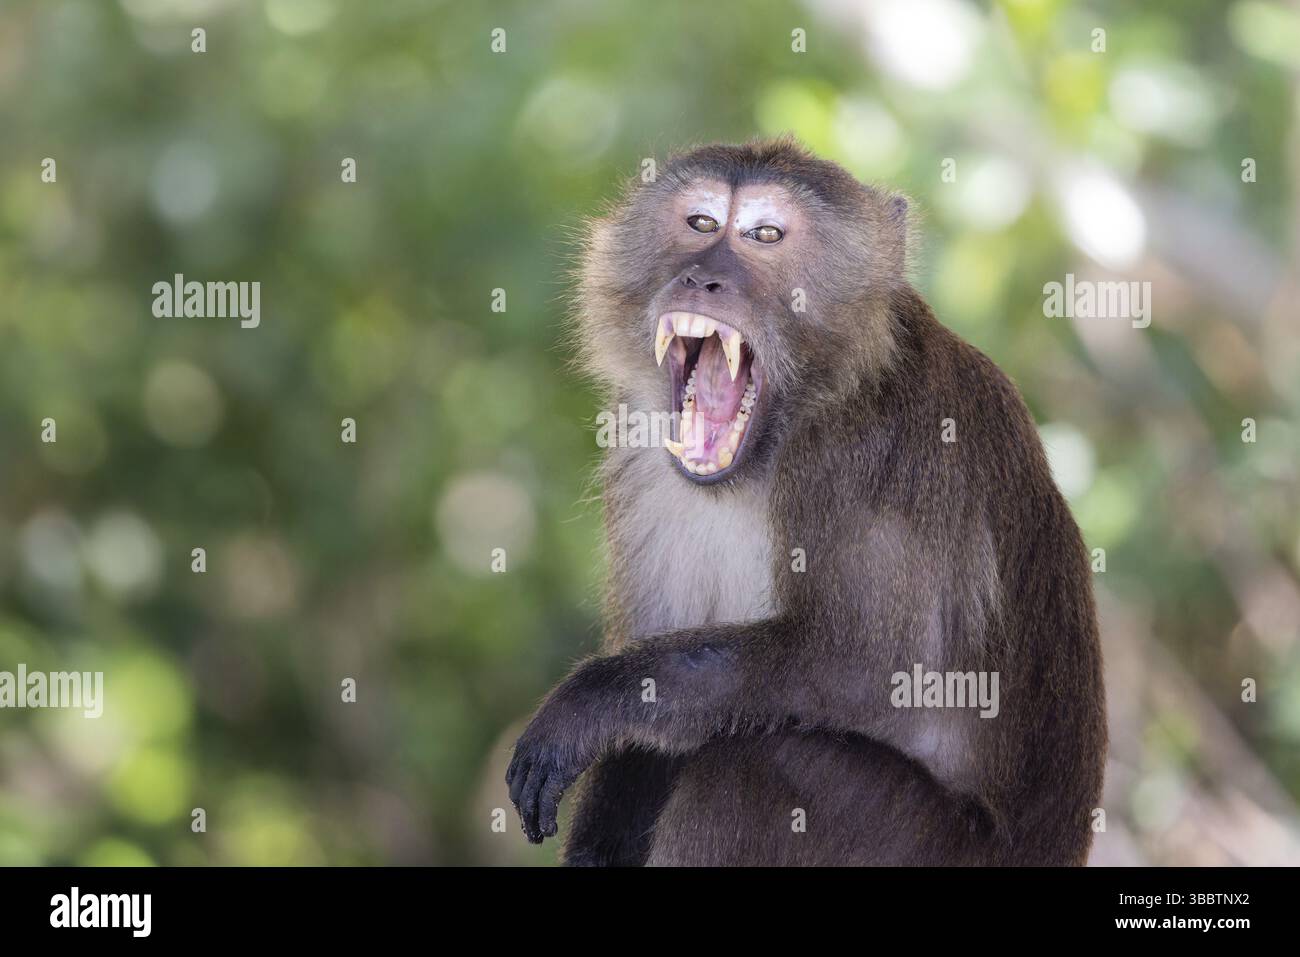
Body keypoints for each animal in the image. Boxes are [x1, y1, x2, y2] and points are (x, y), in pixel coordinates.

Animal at [506, 138, 1107, 866]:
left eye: (766, 235)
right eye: (701, 224)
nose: (702, 279)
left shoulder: (865, 454)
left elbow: (869, 669)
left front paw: (591, 702)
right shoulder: (641, 459)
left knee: (754, 769)